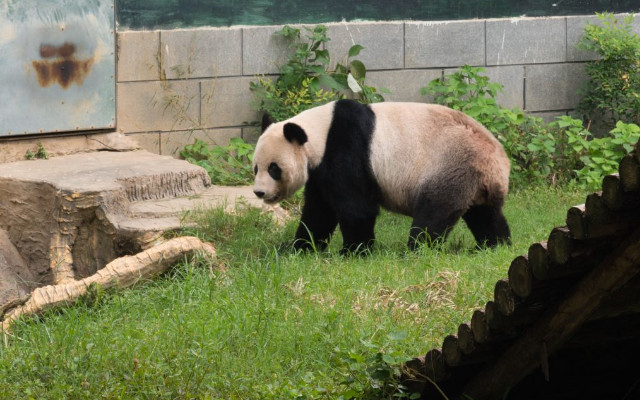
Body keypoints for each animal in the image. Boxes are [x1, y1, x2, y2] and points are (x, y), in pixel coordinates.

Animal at [252, 99, 512, 253]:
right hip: (475, 181)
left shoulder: (347, 147)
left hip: (451, 167)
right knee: (485, 215)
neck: (319, 133)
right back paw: (495, 245)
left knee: (434, 213)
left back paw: (416, 250)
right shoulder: (319, 170)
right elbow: (319, 211)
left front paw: (354, 251)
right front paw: (300, 248)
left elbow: (356, 208)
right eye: (256, 168)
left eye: (273, 168)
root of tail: (498, 161)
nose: (259, 192)